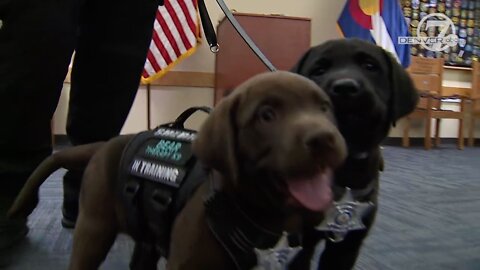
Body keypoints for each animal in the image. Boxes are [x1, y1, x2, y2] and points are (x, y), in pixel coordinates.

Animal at [10, 71, 348, 270]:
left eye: (324, 108)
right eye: (267, 115)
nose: (325, 138)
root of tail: (105, 145)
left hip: (145, 239)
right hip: (93, 229)